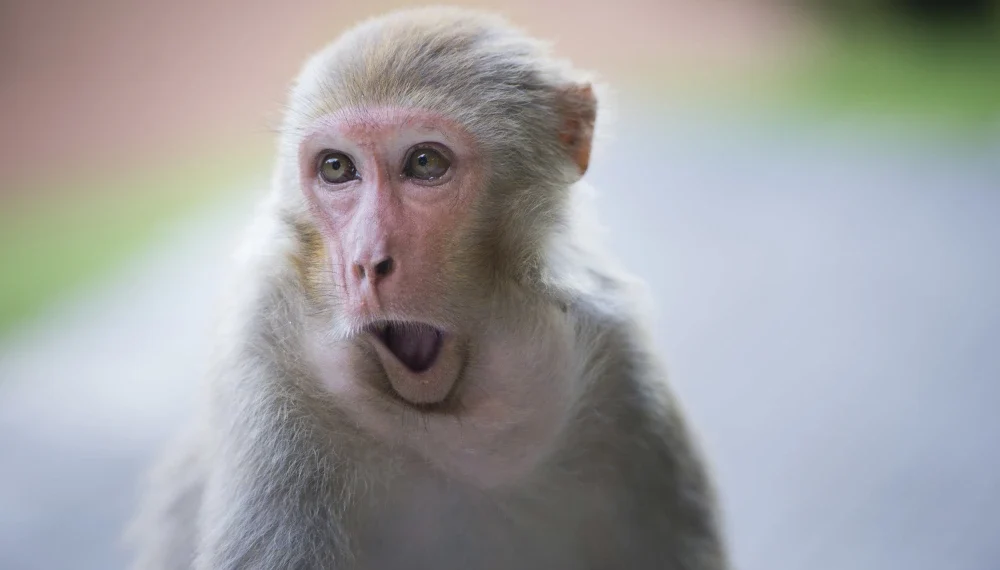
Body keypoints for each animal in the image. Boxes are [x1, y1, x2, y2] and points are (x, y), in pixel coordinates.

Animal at [128, 7, 729, 570]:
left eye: (424, 162)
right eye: (337, 167)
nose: (366, 263)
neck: (450, 418)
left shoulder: (623, 372)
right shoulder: (265, 358)